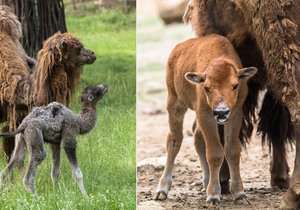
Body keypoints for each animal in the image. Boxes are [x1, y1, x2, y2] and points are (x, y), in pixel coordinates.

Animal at [156, 34, 256, 205]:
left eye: (235, 85)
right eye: (207, 88)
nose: (221, 112)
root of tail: (176, 50)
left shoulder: (235, 114)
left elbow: (232, 151)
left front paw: (239, 194)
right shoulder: (206, 115)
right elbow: (215, 153)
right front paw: (214, 196)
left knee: (197, 137)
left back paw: (206, 181)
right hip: (175, 104)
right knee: (174, 140)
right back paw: (162, 190)